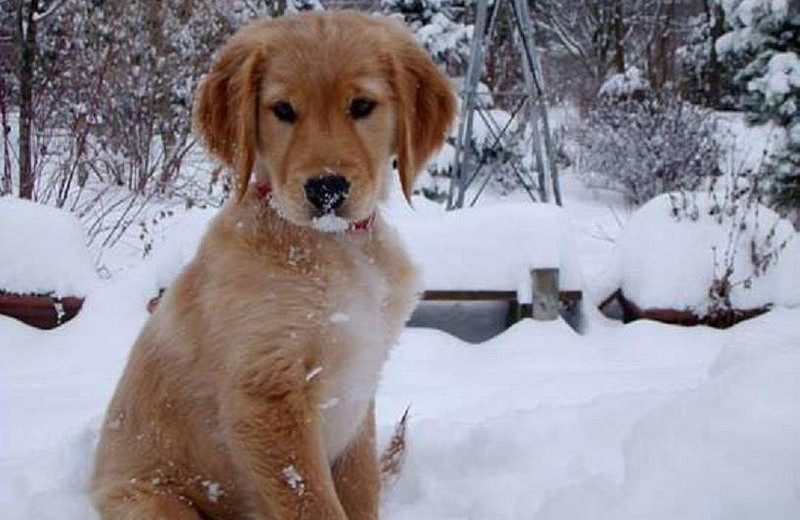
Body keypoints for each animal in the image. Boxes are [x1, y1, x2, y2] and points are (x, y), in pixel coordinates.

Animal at [90, 10, 454, 520]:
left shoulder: (359, 391)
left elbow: (360, 491)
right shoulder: (265, 395)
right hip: (154, 501)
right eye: (282, 110)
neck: (335, 246)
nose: (326, 188)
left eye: (362, 105)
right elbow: (314, 503)